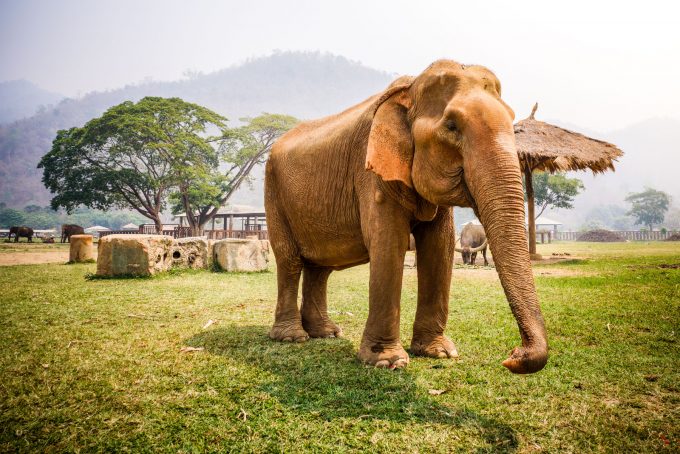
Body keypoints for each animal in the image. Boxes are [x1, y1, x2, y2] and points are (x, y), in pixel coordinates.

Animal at [262, 59, 548, 372]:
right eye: (452, 126)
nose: (513, 355)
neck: (409, 90)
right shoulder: (370, 171)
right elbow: (389, 242)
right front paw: (388, 362)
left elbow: (439, 247)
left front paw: (439, 352)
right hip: (273, 193)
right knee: (289, 260)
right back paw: (292, 337)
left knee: (320, 267)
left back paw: (326, 333)